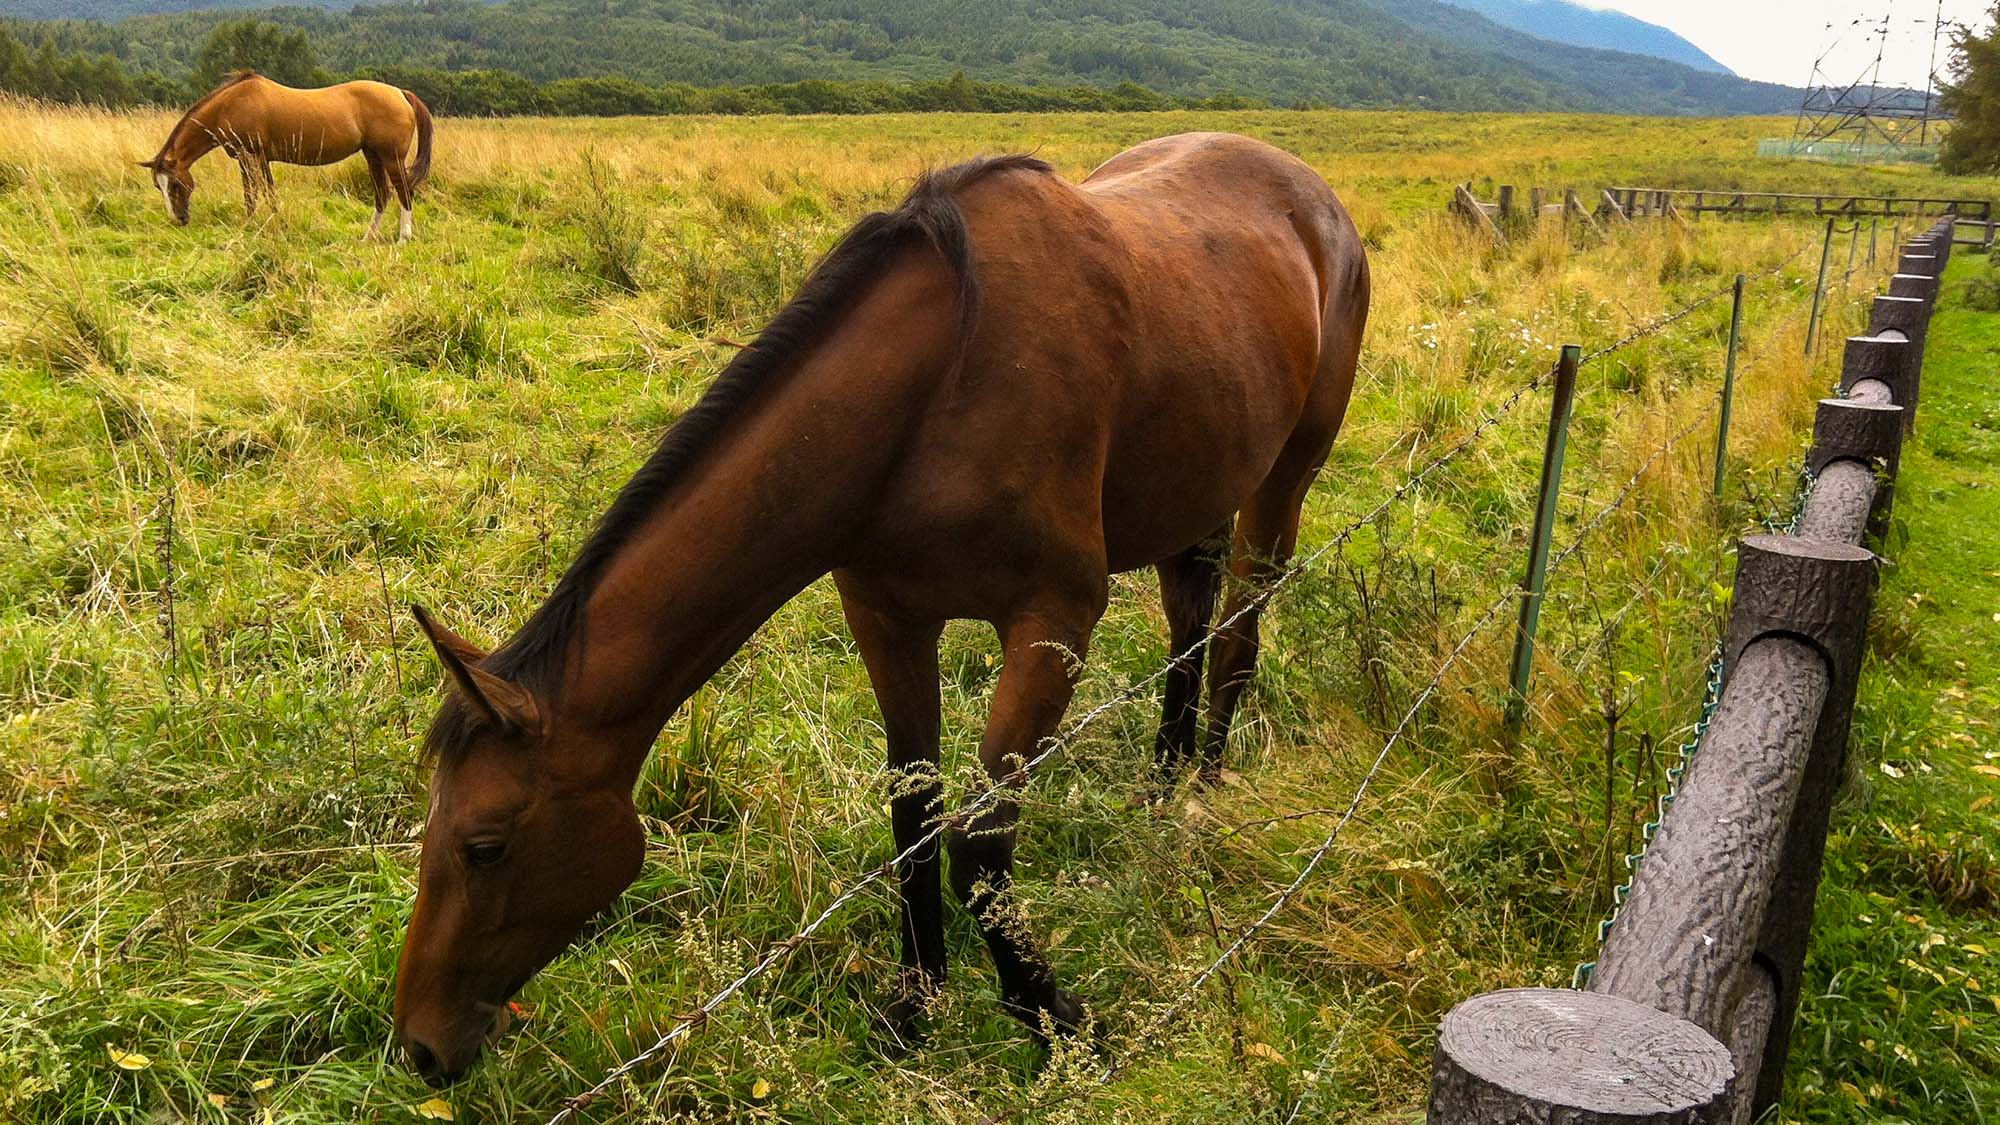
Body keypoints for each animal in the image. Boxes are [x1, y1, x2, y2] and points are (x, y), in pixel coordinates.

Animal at [142, 71, 438, 238]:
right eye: (159, 186)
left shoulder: (251, 157)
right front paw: (274, 224)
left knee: (404, 192)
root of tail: (401, 93)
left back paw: (403, 237)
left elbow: (254, 194)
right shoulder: (256, 160)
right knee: (382, 194)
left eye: (175, 184)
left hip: (391, 158)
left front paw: (253, 226)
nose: (178, 219)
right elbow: (267, 193)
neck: (230, 105)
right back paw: (368, 237)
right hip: (373, 155)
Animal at [388, 133, 1368, 1088]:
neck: (936, 396)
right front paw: (915, 1006)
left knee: (1238, 631)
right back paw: (1163, 784)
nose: (419, 1045)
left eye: (484, 845)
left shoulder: (1052, 622)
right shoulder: (888, 617)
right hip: (1196, 485)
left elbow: (980, 841)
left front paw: (1059, 1021)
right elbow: (914, 816)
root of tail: (1310, 187)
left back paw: (1202, 789)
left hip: (1284, 479)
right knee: (1189, 623)